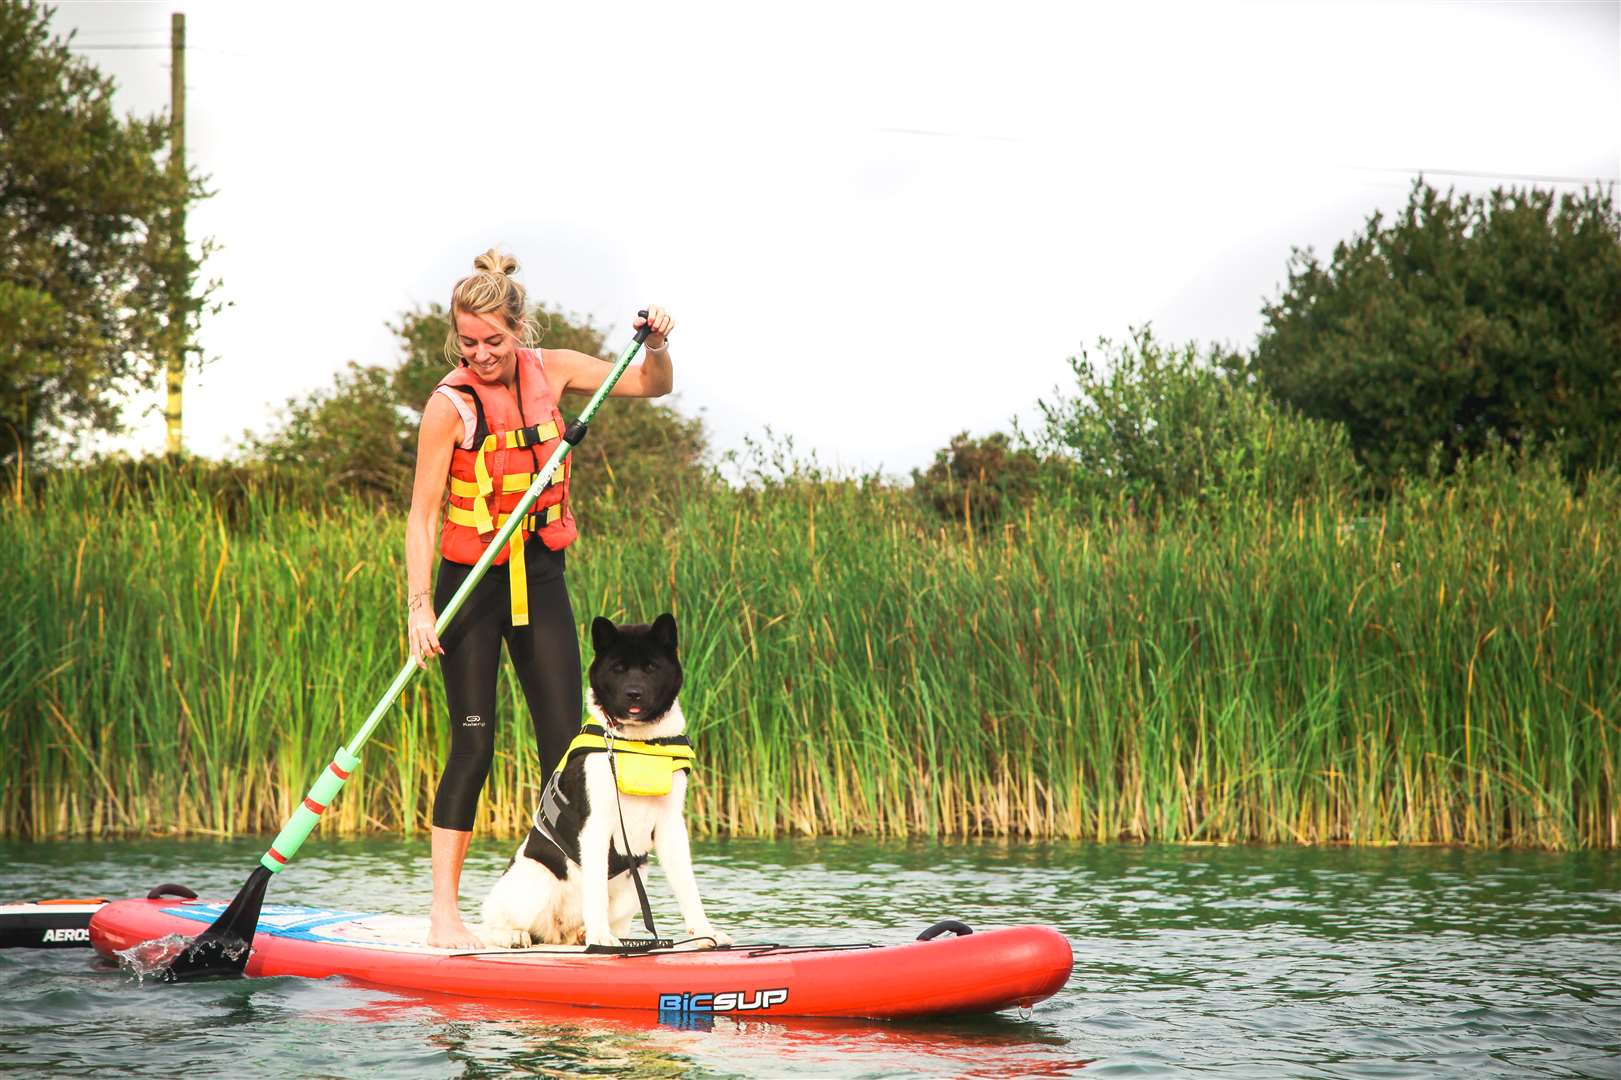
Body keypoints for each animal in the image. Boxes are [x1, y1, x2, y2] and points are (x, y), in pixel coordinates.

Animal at [476, 612, 732, 953]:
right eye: (618, 668)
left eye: (650, 667)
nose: (634, 693)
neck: (638, 743)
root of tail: (559, 932)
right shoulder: (596, 826)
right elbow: (595, 888)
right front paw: (600, 938)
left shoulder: (671, 827)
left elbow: (688, 886)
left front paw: (706, 933)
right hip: (535, 882)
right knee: (492, 923)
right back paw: (514, 935)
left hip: (635, 884)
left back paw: (587, 935)